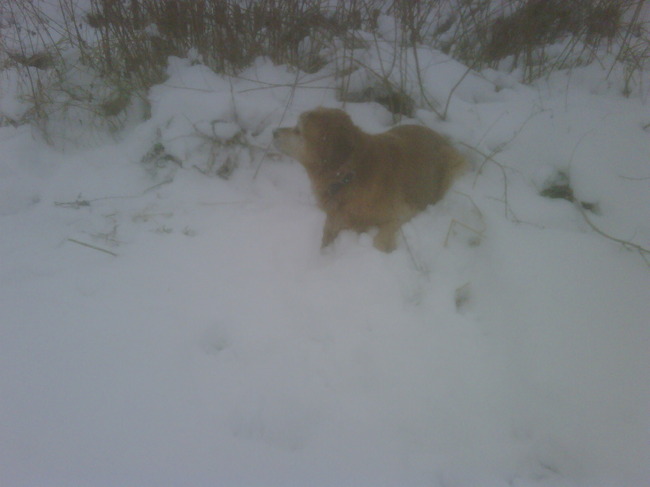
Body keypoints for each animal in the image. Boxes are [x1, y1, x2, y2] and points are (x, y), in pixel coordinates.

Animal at [273, 107, 466, 252]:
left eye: (298, 130)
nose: (274, 132)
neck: (348, 176)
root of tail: (437, 133)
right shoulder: (334, 219)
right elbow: (324, 242)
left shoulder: (407, 211)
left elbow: (378, 242)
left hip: (453, 161)